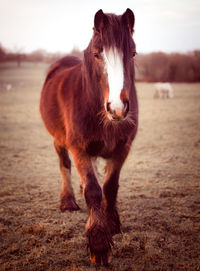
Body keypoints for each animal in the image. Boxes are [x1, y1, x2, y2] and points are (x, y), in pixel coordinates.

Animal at [40, 7, 138, 266]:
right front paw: (99, 244)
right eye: (96, 54)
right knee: (64, 165)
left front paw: (112, 224)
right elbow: (93, 190)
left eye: (133, 53)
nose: (117, 108)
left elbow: (110, 186)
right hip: (59, 141)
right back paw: (68, 201)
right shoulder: (78, 148)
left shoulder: (122, 147)